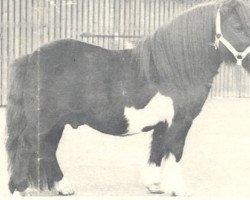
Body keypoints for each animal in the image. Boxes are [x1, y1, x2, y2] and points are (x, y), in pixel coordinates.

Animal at [5, 0, 250, 197]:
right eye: (238, 27)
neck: (174, 70)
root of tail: (31, 57)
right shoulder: (181, 121)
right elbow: (175, 151)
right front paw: (179, 189)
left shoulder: (164, 123)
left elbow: (157, 149)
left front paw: (154, 185)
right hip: (45, 121)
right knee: (28, 146)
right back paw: (20, 188)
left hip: (55, 123)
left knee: (47, 150)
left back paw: (63, 187)